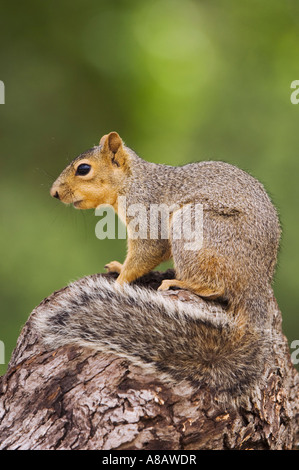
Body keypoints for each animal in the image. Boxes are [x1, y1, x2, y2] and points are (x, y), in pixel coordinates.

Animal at [34, 130, 282, 402]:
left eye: (83, 169)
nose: (54, 192)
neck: (134, 181)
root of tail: (257, 284)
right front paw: (118, 267)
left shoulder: (148, 214)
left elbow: (149, 249)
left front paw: (119, 283)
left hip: (195, 227)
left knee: (216, 287)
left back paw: (180, 282)